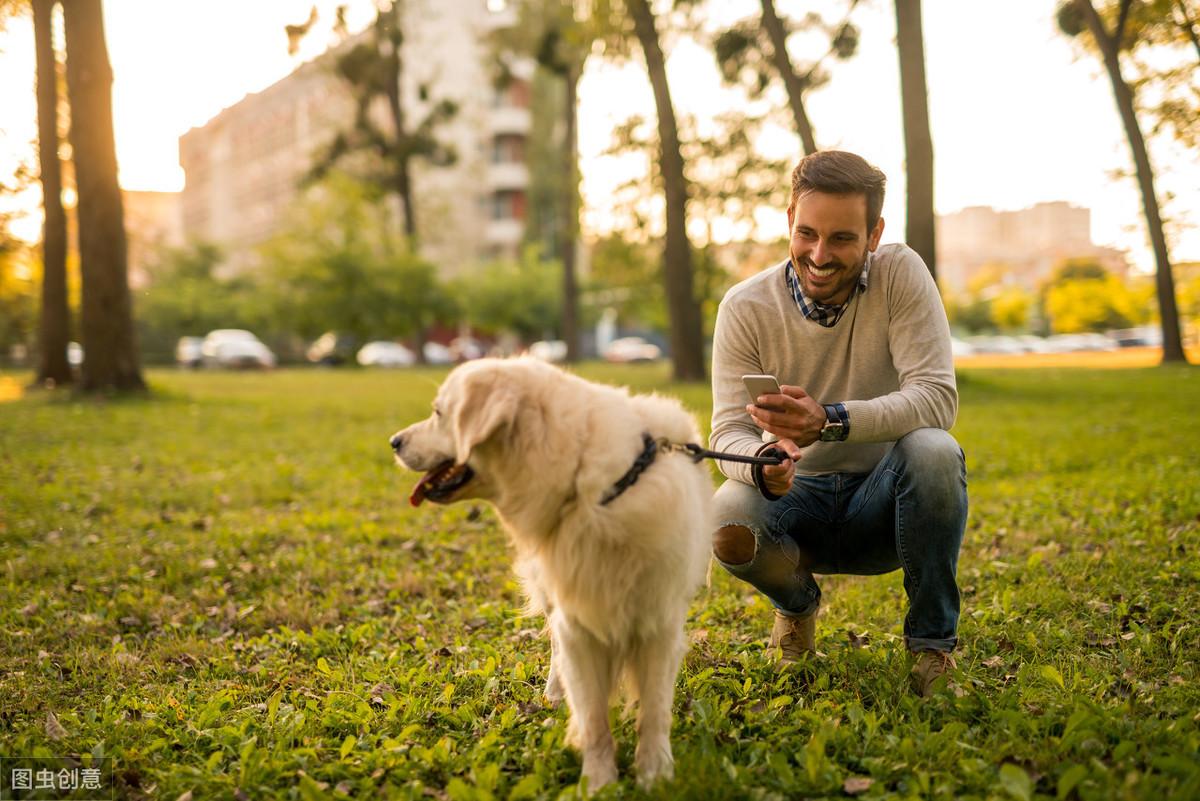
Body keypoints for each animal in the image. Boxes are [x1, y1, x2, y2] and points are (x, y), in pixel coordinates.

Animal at [391, 357, 710, 786]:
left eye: (439, 413)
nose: (394, 442)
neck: (593, 488)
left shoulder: (658, 623)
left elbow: (654, 710)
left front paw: (654, 774)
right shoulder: (576, 620)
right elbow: (592, 716)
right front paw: (599, 783)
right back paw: (555, 694)